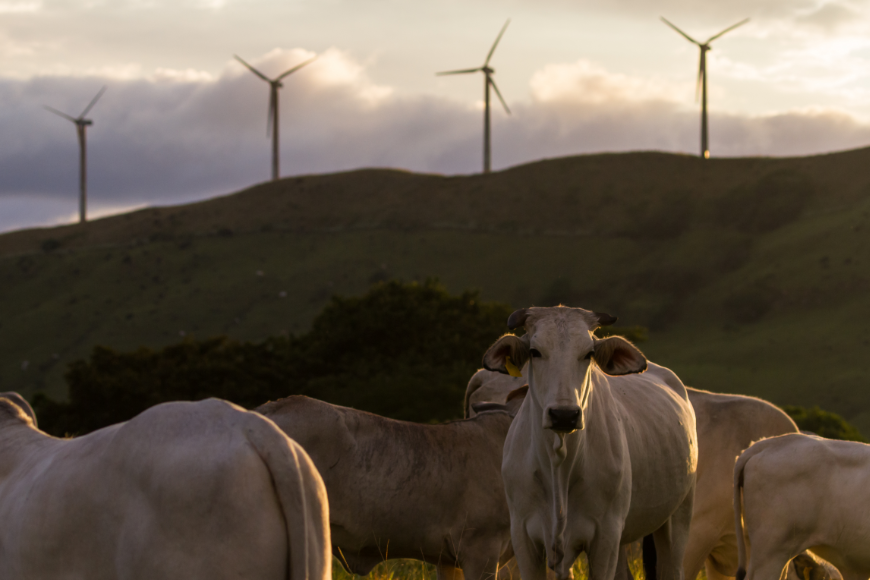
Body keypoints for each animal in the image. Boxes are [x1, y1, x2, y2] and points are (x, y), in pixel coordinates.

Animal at [486, 306, 697, 580]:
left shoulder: (605, 537)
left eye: (588, 354)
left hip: (678, 517)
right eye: (535, 351)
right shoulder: (523, 536)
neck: (559, 465)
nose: (564, 414)